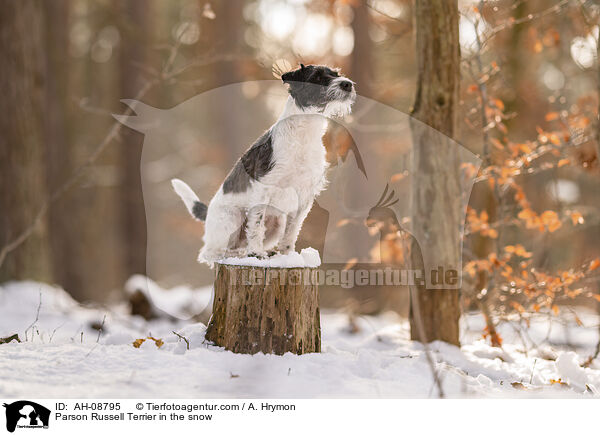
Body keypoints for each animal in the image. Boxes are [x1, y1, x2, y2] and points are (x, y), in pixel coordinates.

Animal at [171, 63, 354, 264]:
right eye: (317, 77)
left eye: (335, 74)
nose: (347, 84)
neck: (303, 134)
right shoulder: (264, 188)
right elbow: (256, 225)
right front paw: (257, 253)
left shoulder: (304, 197)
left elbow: (292, 231)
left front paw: (287, 255)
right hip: (231, 218)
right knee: (210, 252)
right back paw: (234, 255)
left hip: (276, 223)